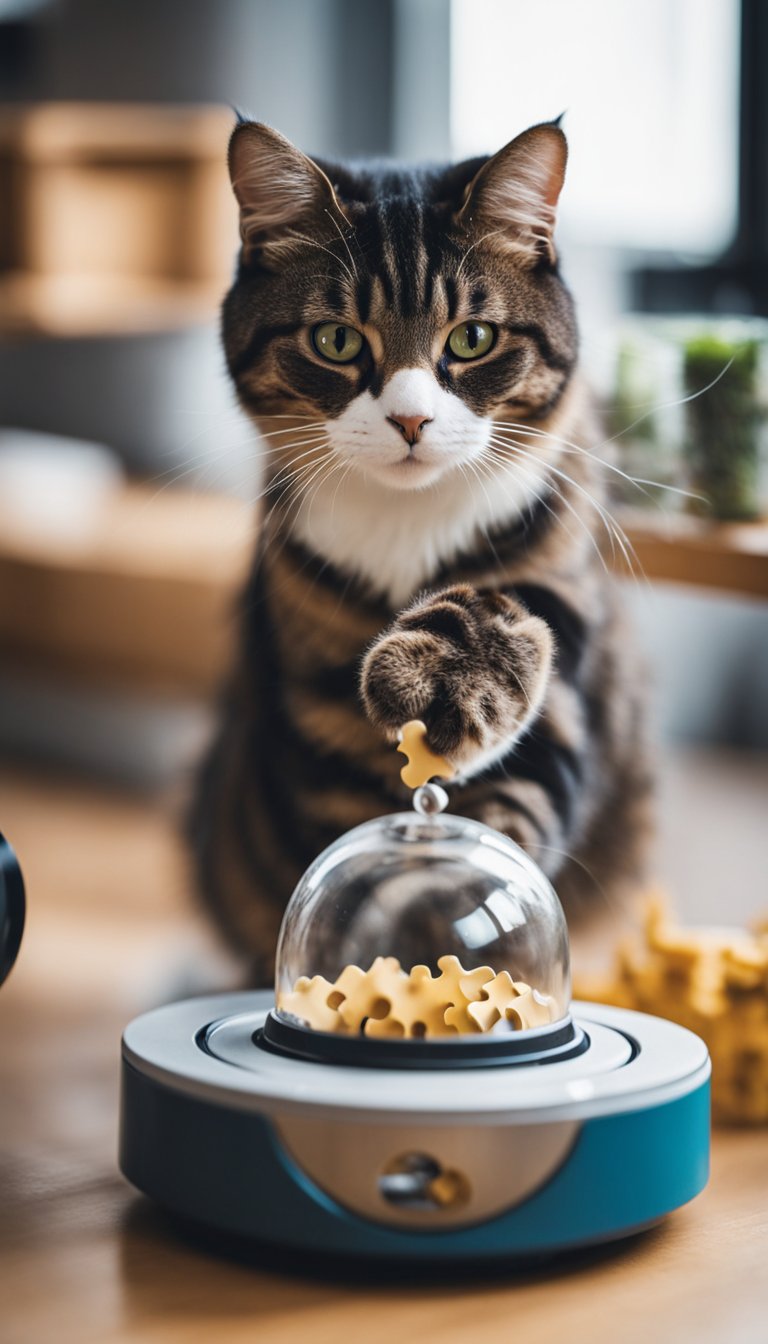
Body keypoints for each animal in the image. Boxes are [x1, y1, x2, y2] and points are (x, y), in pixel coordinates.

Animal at [190, 118, 648, 978]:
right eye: (336, 340)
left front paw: (442, 678)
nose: (409, 421)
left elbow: (516, 646)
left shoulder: (561, 593)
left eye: (472, 338)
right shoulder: (320, 723)